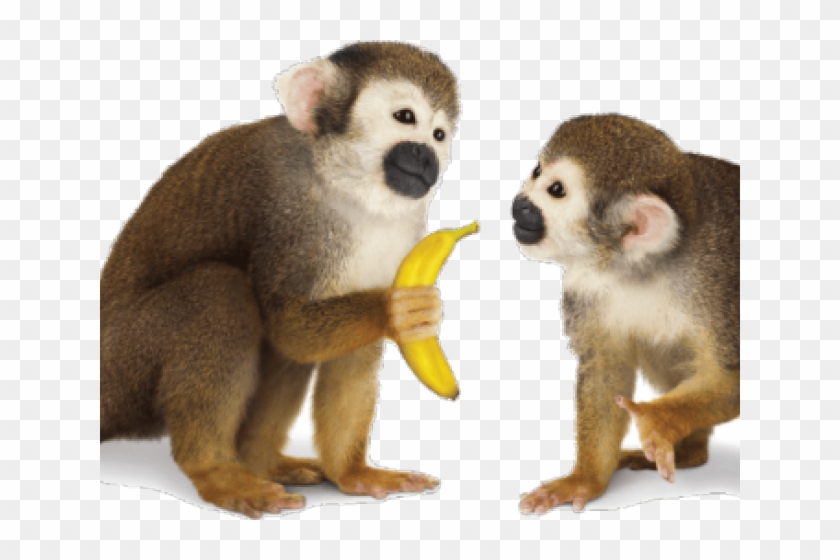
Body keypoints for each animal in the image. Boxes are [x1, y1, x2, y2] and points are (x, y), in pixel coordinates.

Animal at [100, 41, 461, 519]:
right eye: (405, 117)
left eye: (439, 135)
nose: (426, 156)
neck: (342, 184)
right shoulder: (288, 210)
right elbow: (290, 327)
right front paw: (397, 309)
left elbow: (348, 352)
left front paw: (353, 473)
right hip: (123, 364)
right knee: (219, 292)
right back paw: (215, 470)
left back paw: (260, 460)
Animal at [513, 114, 739, 514]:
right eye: (536, 171)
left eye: (556, 190)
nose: (520, 203)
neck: (645, 266)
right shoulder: (586, 286)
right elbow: (606, 369)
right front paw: (585, 481)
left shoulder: (719, 282)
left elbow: (730, 379)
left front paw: (659, 419)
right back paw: (692, 453)